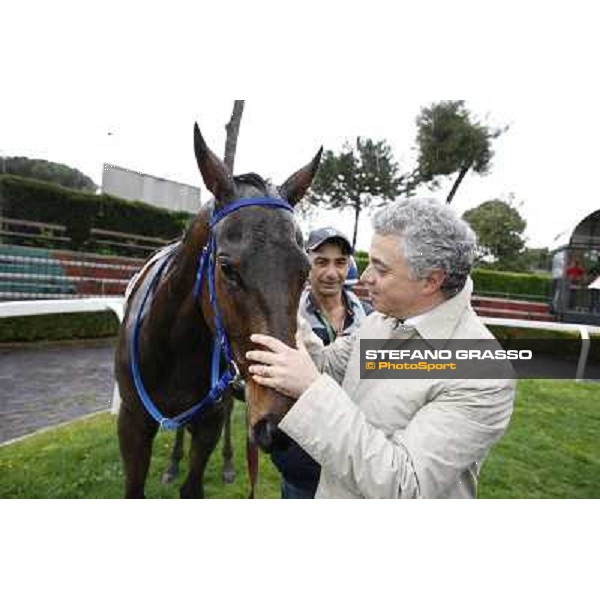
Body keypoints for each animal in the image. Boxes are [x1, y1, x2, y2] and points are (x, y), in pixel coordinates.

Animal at [115, 123, 322, 496]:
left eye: (305, 270)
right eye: (227, 269)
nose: (279, 426)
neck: (175, 348)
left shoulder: (209, 421)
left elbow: (193, 483)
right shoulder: (132, 423)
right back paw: (172, 462)